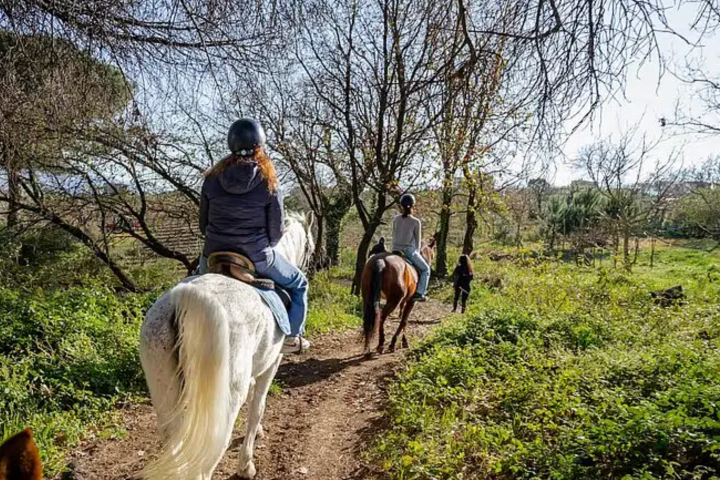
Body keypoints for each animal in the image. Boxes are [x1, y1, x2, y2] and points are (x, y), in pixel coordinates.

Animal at [138, 212, 314, 480]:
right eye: (311, 249)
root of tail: (184, 300)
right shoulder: (272, 363)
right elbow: (258, 406)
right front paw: (246, 464)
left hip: (165, 395)